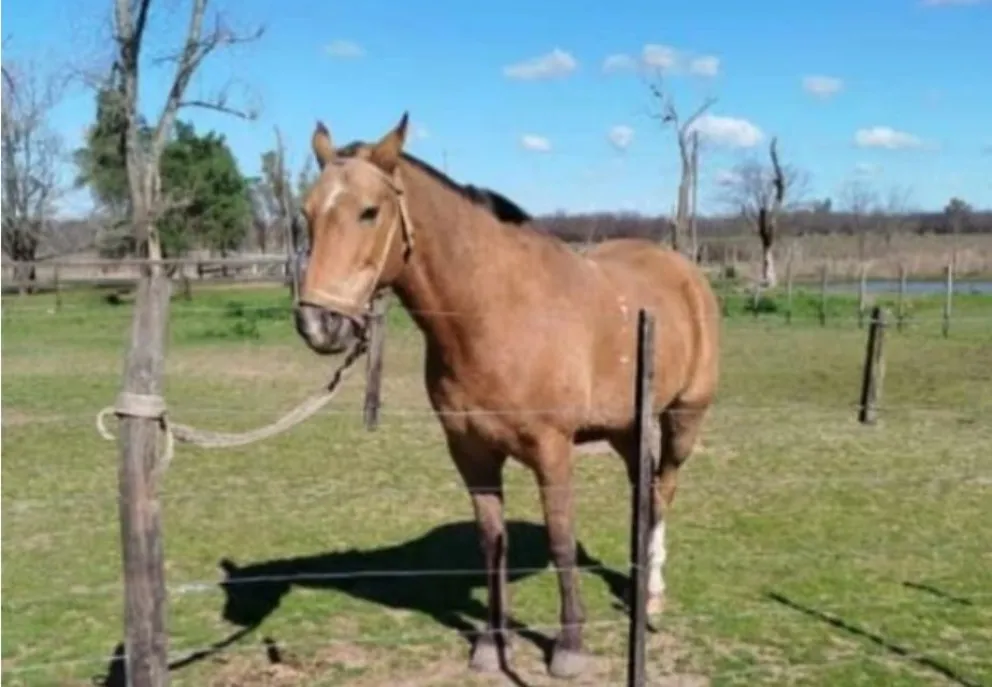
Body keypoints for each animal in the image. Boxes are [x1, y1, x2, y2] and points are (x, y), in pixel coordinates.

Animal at [293, 112, 720, 679]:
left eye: (369, 211)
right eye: (307, 213)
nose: (318, 324)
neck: (495, 313)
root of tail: (684, 271)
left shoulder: (552, 451)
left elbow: (560, 539)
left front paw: (570, 647)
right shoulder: (471, 452)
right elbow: (491, 543)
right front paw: (492, 646)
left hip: (683, 419)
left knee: (663, 490)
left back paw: (650, 597)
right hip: (626, 426)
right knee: (644, 492)